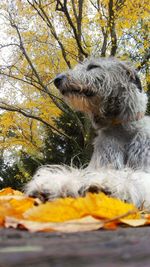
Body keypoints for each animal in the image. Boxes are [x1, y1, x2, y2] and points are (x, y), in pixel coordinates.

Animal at [24, 57, 150, 210]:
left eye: (93, 66)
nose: (57, 79)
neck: (121, 129)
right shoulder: (100, 161)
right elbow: (80, 173)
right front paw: (52, 183)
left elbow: (134, 176)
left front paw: (108, 183)